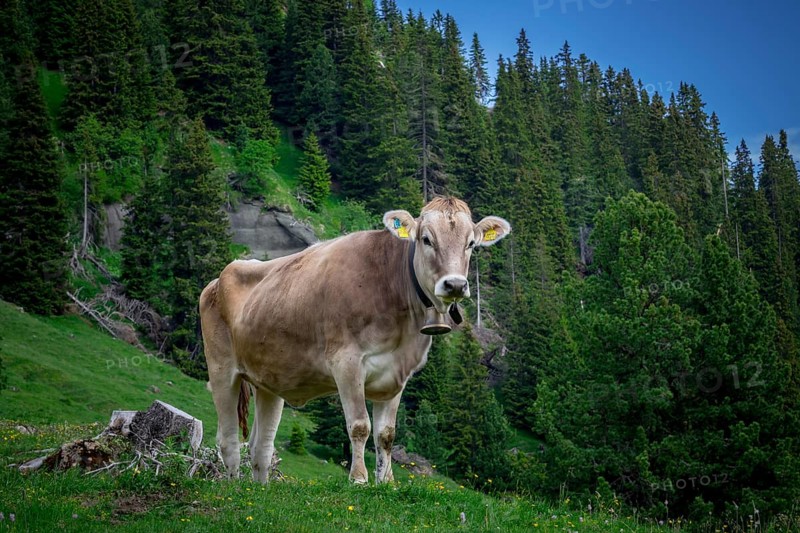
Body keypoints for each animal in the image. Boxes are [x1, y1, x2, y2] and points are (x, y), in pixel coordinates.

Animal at [199, 197, 510, 484]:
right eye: (426, 239)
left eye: (471, 243)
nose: (455, 284)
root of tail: (218, 278)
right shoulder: (346, 362)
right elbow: (360, 426)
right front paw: (359, 479)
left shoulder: (397, 374)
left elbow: (386, 434)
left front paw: (387, 483)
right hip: (221, 370)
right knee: (228, 440)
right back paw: (233, 486)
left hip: (268, 381)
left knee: (261, 447)